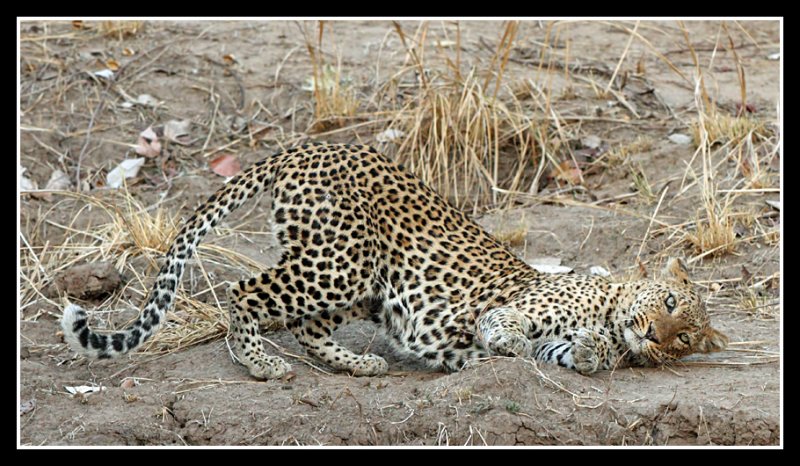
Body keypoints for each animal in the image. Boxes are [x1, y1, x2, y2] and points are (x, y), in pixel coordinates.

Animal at [59, 142, 728, 378]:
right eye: (669, 302)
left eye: (684, 338)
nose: (654, 335)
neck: (612, 310)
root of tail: (306, 146)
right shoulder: (521, 304)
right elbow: (507, 325)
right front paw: (507, 342)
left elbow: (571, 353)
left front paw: (593, 354)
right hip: (339, 262)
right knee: (244, 292)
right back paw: (260, 364)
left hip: (362, 283)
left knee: (307, 329)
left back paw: (358, 364)